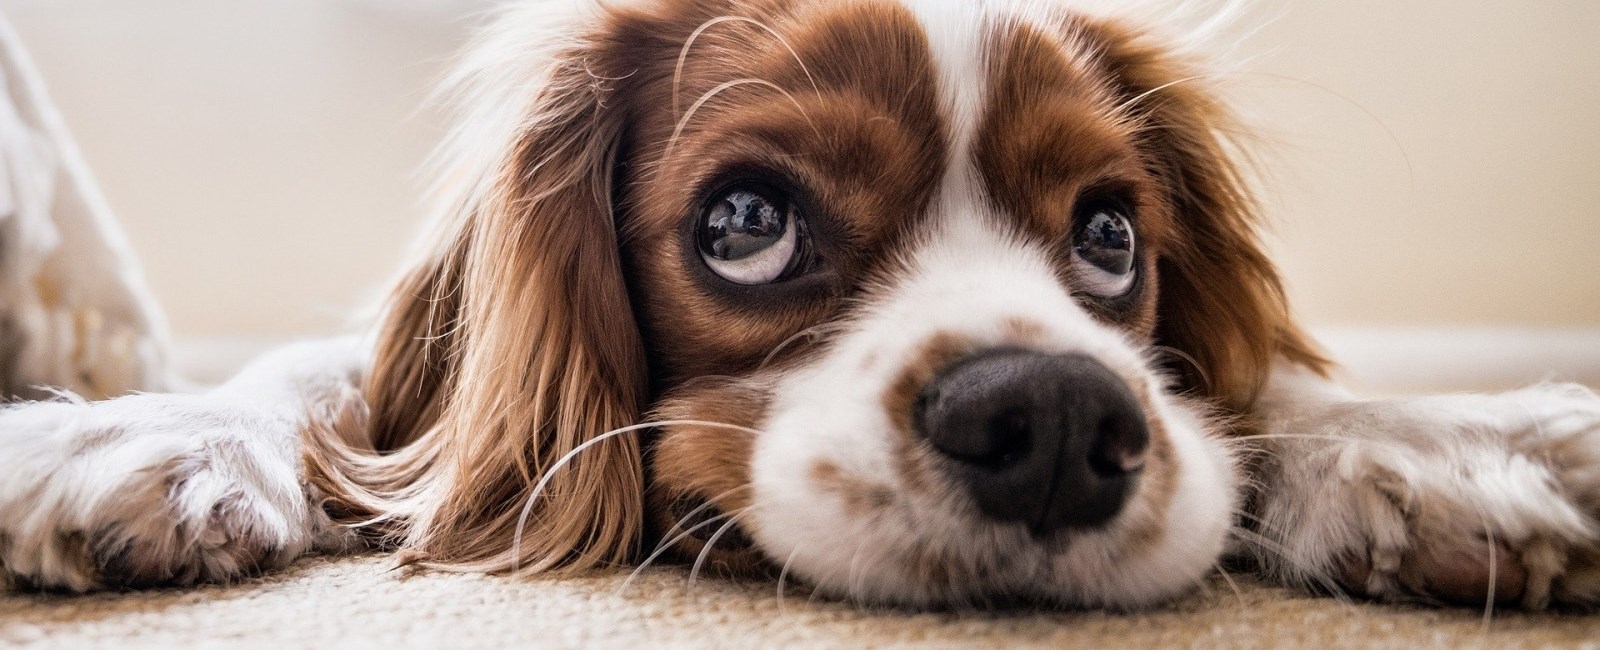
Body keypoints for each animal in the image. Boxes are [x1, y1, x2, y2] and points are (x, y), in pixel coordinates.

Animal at [3, 0, 1600, 608]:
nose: (1050, 418)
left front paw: (1448, 442)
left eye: (1108, 236)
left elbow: (1266, 388)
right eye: (746, 225)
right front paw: (140, 431)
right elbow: (322, 376)